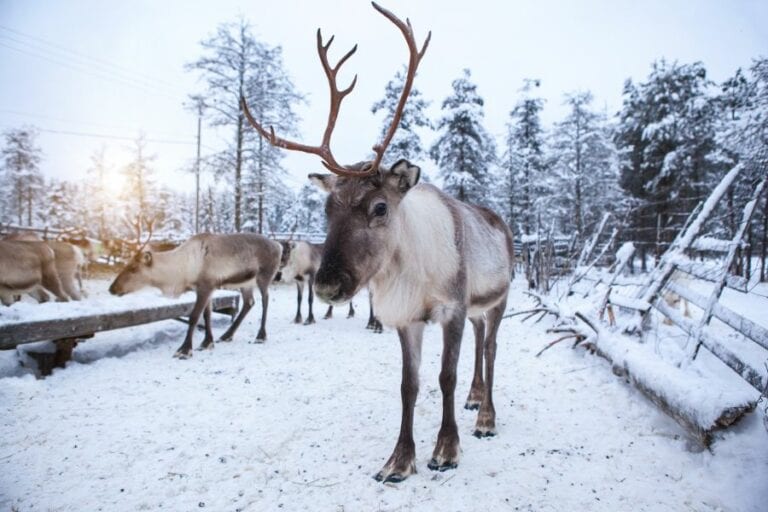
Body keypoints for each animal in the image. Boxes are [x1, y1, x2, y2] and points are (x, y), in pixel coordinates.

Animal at [108, 232, 283, 359]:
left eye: (133, 268)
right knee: (249, 302)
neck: (183, 268)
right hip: (245, 283)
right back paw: (226, 335)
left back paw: (261, 336)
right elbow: (206, 315)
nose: (112, 288)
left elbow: (194, 316)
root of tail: (279, 245)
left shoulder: (206, 286)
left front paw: (185, 350)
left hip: (264, 276)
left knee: (265, 300)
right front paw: (207, 342)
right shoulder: (205, 289)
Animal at [242, 2, 514, 483]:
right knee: (482, 342)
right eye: (326, 208)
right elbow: (409, 385)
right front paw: (399, 460)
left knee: (492, 348)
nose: (327, 285)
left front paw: (446, 449)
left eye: (380, 207)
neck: (410, 274)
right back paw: (476, 398)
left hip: (499, 299)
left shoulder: (453, 308)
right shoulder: (408, 318)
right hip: (479, 307)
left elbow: (445, 377)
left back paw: (486, 417)